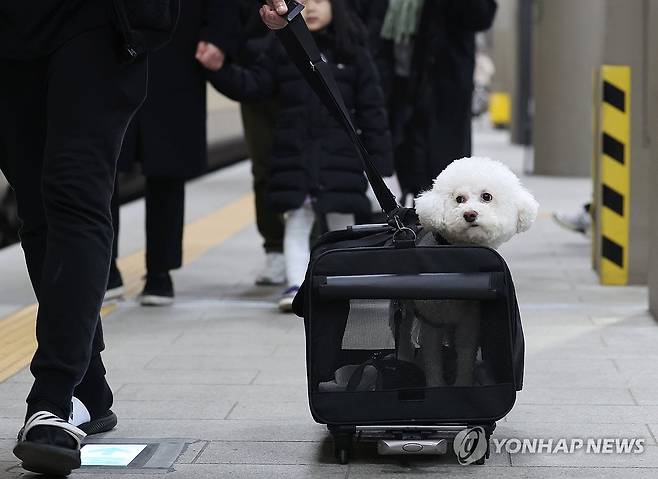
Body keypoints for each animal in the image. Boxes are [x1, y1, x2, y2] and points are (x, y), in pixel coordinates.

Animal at [408, 158, 536, 386]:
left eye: (487, 197)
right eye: (459, 199)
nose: (469, 214)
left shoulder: (470, 322)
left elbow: (466, 353)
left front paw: (462, 384)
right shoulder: (431, 321)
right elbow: (432, 358)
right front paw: (436, 385)